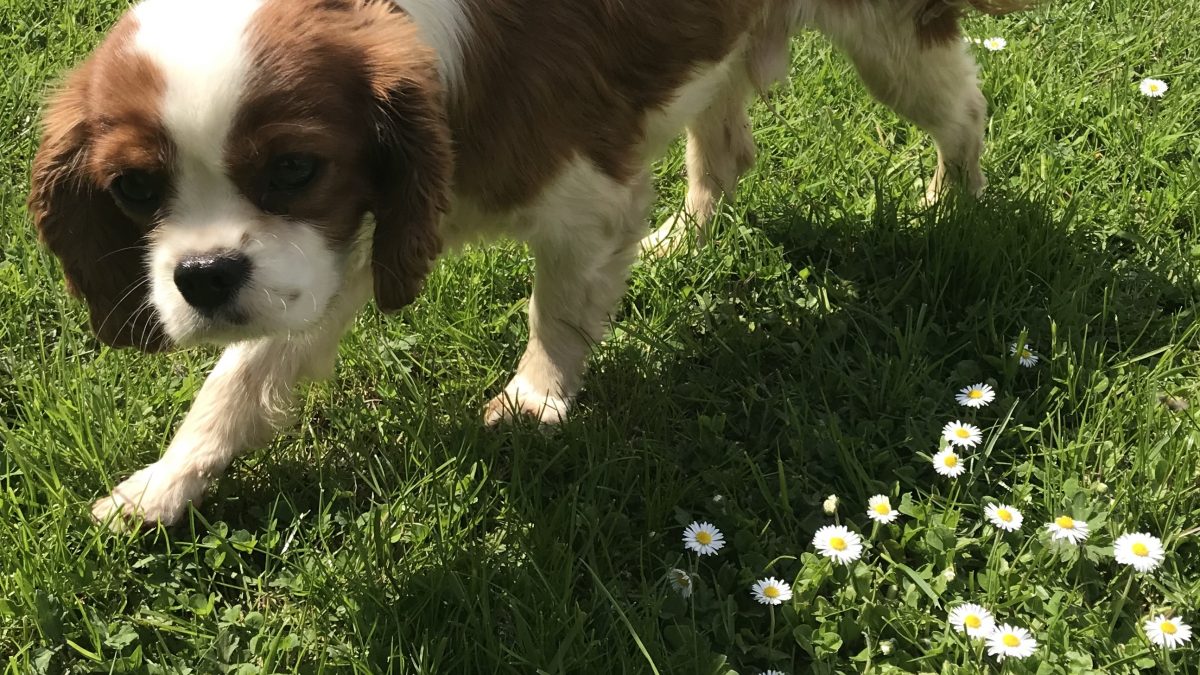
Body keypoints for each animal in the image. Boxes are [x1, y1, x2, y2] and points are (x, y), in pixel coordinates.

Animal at [32, 0, 1036, 526]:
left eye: (293, 168)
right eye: (134, 188)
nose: (202, 278)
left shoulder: (582, 199)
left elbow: (555, 309)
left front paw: (536, 399)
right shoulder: (352, 235)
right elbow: (240, 383)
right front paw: (164, 485)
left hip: (892, 43)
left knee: (964, 110)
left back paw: (956, 209)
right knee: (726, 145)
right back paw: (688, 239)